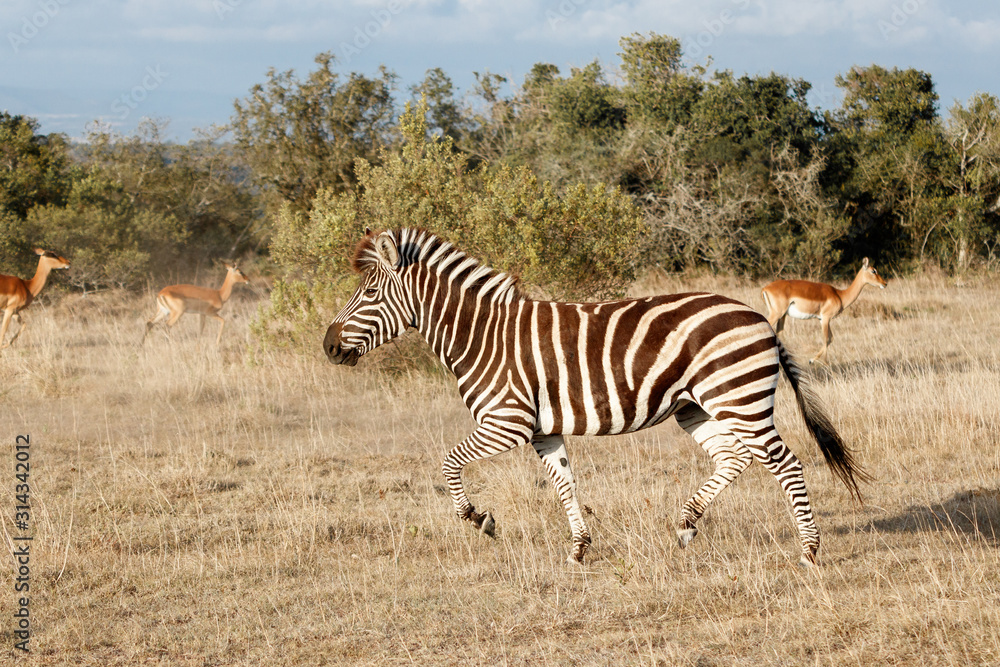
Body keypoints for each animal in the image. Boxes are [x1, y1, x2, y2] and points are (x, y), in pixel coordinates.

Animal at [323, 228, 868, 566]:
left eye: (369, 294)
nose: (328, 346)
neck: (481, 336)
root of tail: (759, 318)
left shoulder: (507, 422)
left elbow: (448, 463)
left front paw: (481, 520)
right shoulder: (543, 430)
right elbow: (565, 484)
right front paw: (580, 549)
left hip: (739, 399)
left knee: (785, 463)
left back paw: (809, 551)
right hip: (698, 407)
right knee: (735, 458)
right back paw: (686, 526)